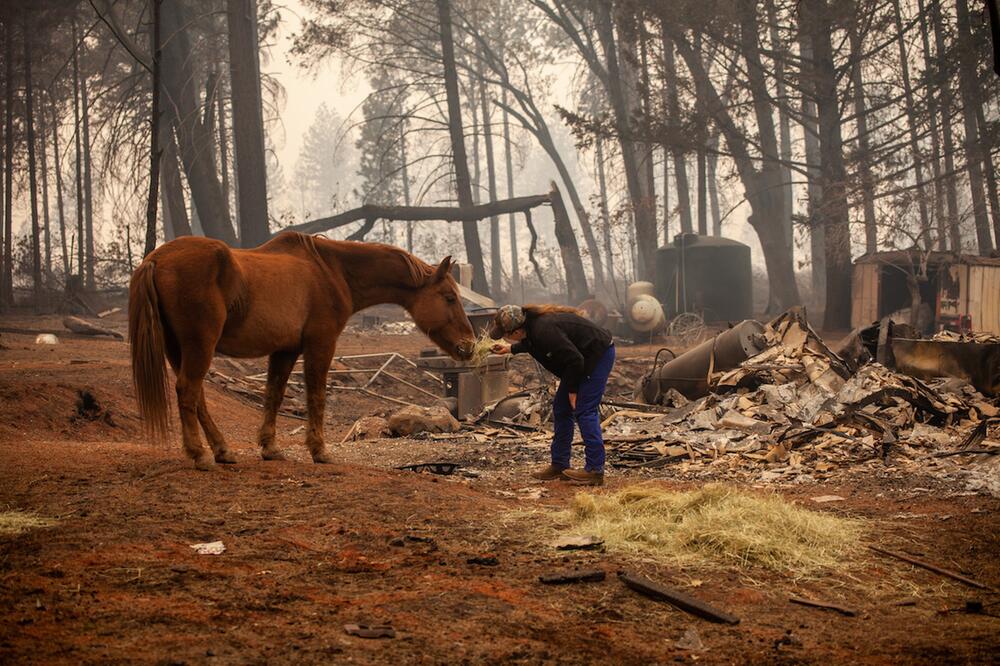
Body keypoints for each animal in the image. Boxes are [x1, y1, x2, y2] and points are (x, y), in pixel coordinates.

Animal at [130, 231, 476, 470]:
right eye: (449, 297)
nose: (469, 346)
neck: (331, 271)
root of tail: (155, 259)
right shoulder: (320, 344)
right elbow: (316, 395)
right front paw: (319, 450)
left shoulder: (285, 351)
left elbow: (274, 395)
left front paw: (270, 448)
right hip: (199, 345)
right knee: (188, 391)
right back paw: (200, 455)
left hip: (179, 349)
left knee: (196, 397)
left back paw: (222, 450)